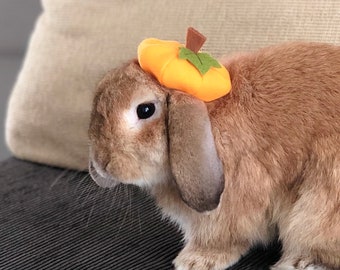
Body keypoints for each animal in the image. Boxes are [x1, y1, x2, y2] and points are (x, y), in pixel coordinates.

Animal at [88, 42, 340, 270]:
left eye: (145, 110)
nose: (102, 163)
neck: (209, 118)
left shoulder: (230, 206)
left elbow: (223, 238)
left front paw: (194, 261)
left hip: (316, 207)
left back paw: (300, 263)